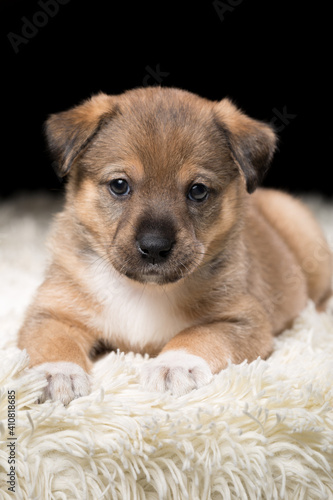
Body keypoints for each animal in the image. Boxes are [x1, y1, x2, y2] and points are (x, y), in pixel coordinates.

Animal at [17, 88, 332, 404]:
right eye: (119, 185)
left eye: (198, 191)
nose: (155, 247)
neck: (143, 291)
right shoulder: (53, 312)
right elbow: (54, 342)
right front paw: (58, 373)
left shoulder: (242, 320)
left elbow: (199, 336)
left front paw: (174, 365)